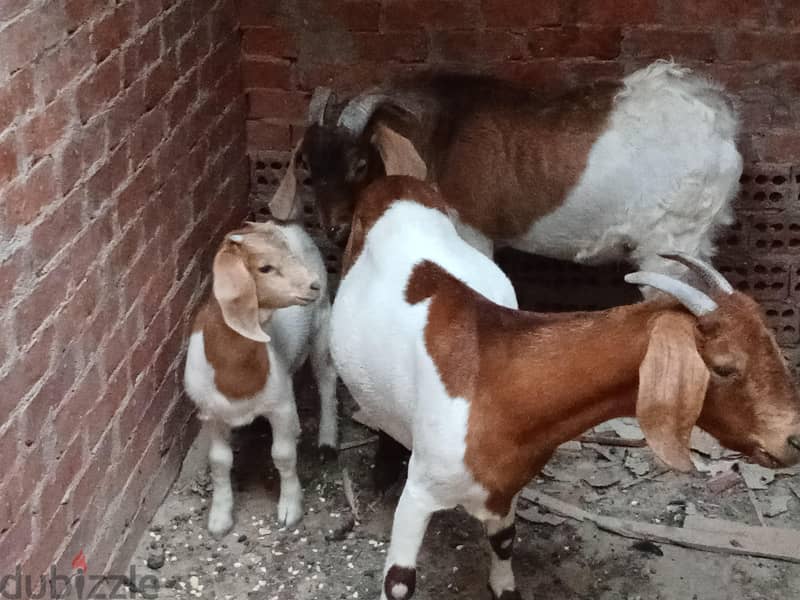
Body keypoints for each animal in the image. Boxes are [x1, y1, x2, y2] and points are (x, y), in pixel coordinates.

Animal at [184, 221, 338, 535]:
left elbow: (283, 454)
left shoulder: (280, 406)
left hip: (322, 322)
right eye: (265, 268)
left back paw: (327, 439)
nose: (313, 284)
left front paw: (290, 508)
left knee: (326, 380)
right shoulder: (211, 415)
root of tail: (291, 225)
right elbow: (220, 462)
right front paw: (219, 518)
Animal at [271, 61, 742, 284]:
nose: (335, 230)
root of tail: (720, 125)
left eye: (360, 164)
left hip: (670, 242)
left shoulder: (472, 230)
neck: (443, 132)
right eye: (308, 168)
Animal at [330, 176, 800, 600]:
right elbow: (398, 583)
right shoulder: (422, 491)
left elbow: (504, 542)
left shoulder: (505, 486)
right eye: (723, 367)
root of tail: (397, 184)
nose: (793, 438)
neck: (496, 382)